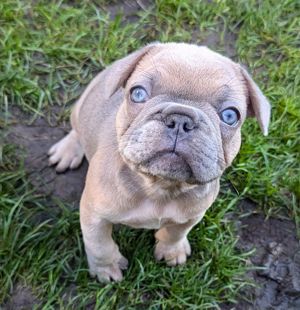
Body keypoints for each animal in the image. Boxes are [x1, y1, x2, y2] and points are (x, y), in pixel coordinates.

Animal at [48, 42, 270, 282]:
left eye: (230, 115)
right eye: (137, 93)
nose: (181, 119)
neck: (160, 187)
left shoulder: (192, 215)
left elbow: (175, 232)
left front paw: (172, 251)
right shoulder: (94, 215)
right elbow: (99, 245)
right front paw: (106, 269)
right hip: (80, 109)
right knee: (76, 130)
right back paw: (68, 150)